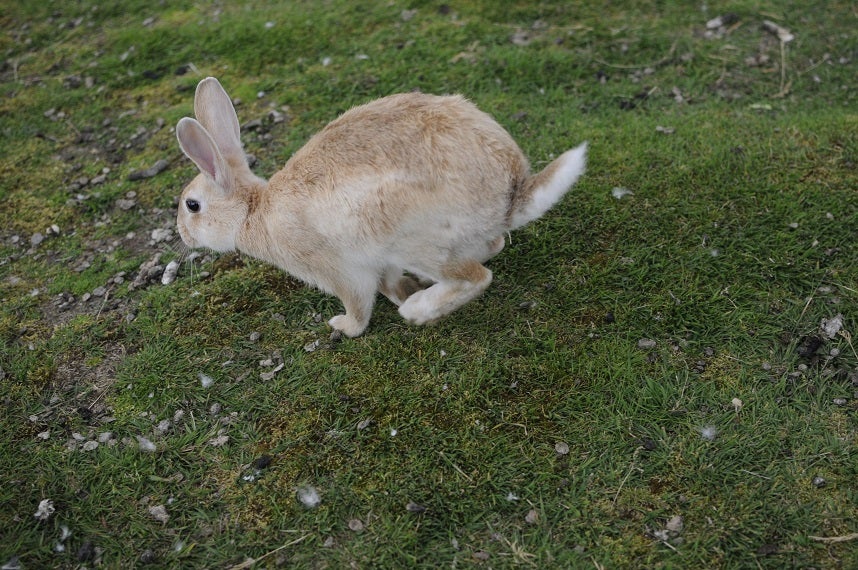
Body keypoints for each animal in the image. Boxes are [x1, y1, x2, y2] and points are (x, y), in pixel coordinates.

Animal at [176, 75, 584, 332]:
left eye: (192, 206)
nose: (182, 236)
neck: (252, 211)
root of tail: (512, 191)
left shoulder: (338, 270)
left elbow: (357, 303)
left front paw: (344, 327)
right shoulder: (376, 264)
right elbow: (387, 284)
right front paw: (402, 291)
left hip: (412, 238)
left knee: (476, 277)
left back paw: (418, 310)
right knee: (493, 247)